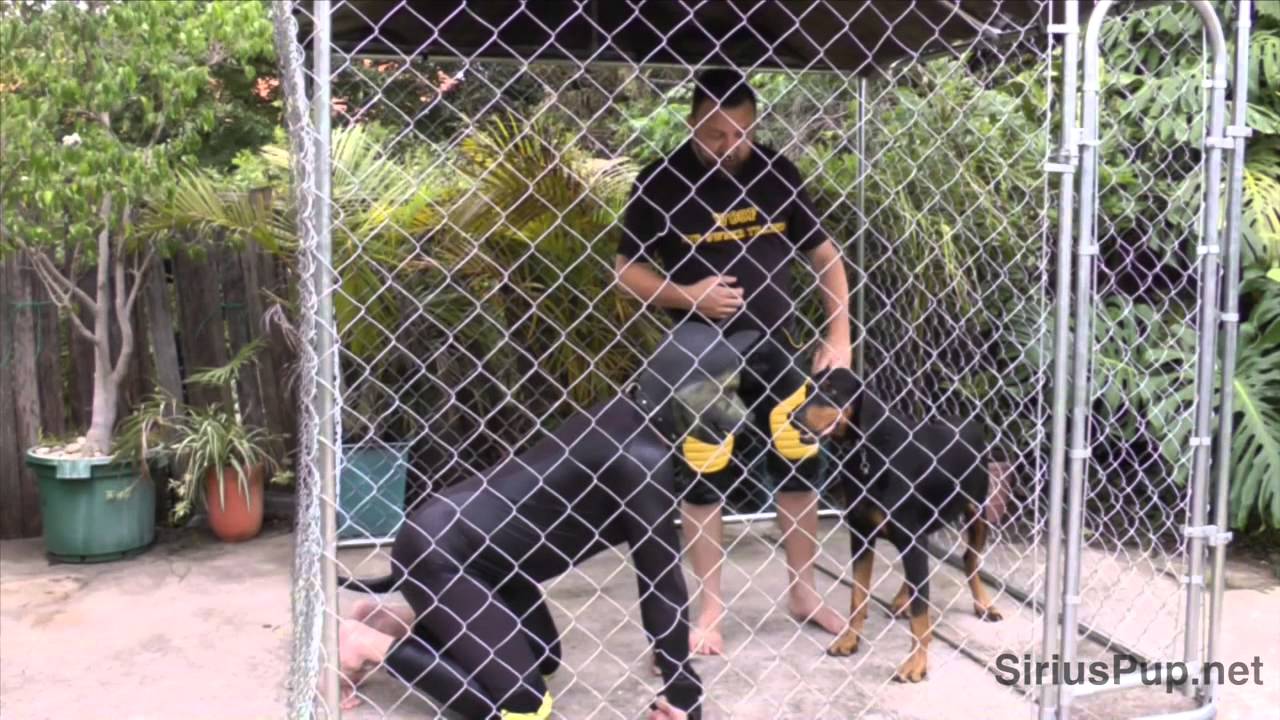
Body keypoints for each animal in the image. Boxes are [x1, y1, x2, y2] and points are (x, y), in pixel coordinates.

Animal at [792, 367, 1004, 683]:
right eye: (808, 389)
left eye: (831, 391)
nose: (793, 417)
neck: (869, 452)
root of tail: (969, 423)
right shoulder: (861, 536)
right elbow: (858, 596)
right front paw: (849, 641)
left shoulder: (911, 538)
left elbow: (921, 613)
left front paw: (916, 664)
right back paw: (902, 598)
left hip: (977, 511)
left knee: (970, 558)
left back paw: (984, 605)